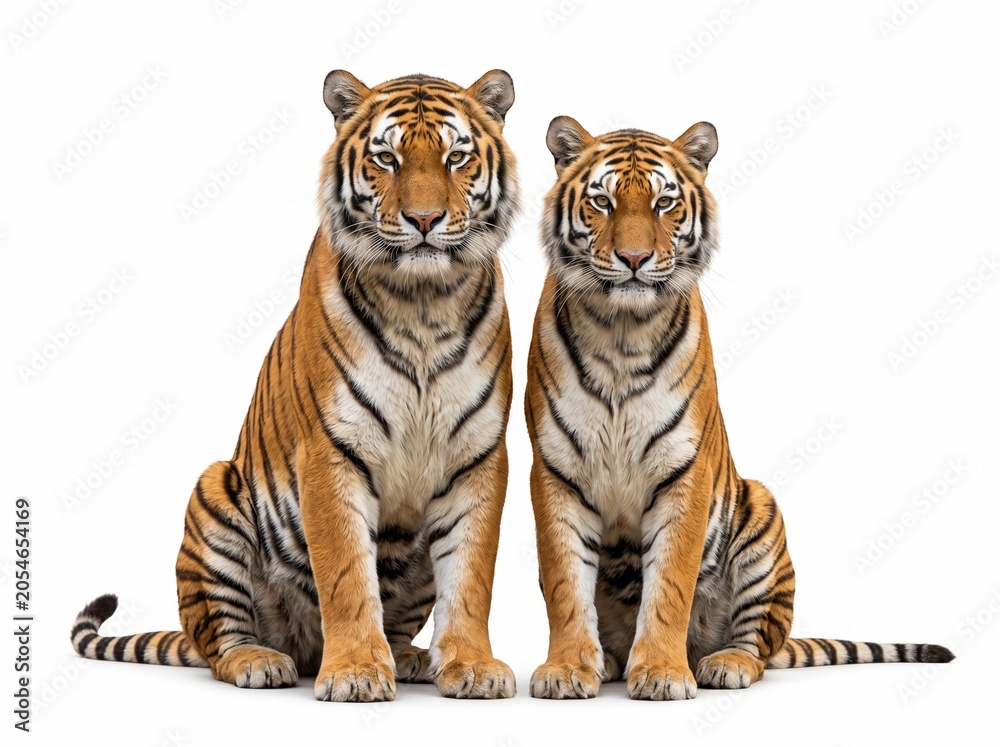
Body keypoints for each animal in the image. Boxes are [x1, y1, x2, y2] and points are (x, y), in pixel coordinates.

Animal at [70, 69, 520, 702]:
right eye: (386, 157)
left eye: (456, 157)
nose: (425, 220)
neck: (423, 303)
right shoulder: (331, 452)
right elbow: (347, 575)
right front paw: (356, 672)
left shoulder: (477, 455)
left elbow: (472, 576)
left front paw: (471, 665)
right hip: (216, 495)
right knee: (219, 643)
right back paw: (261, 661)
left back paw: (408, 657)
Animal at [524, 117, 954, 700]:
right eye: (602, 202)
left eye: (663, 203)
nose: (634, 260)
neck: (622, 334)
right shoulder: (555, 471)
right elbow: (565, 585)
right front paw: (568, 668)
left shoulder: (685, 470)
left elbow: (669, 586)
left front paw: (661, 673)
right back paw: (609, 660)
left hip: (761, 519)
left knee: (758, 645)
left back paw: (720, 663)